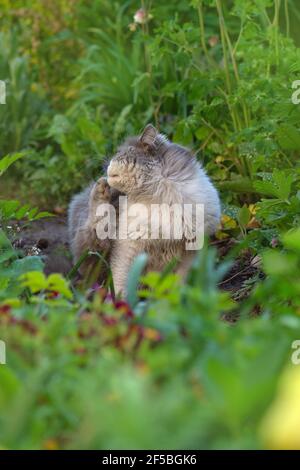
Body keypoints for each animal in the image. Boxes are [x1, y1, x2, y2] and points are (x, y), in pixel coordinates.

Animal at [68, 124, 220, 294]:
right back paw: (101, 190)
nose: (106, 165)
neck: (159, 198)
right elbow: (121, 282)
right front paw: (120, 300)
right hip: (96, 245)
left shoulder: (189, 251)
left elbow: (179, 281)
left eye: (119, 153)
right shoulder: (127, 248)